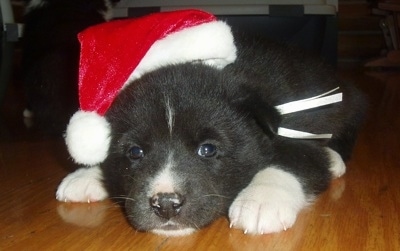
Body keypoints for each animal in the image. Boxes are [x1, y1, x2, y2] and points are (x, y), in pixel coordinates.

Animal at [55, 36, 366, 235]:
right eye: (135, 152)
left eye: (208, 149)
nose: (165, 204)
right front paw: (87, 174)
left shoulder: (298, 130)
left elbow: (291, 160)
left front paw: (262, 199)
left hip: (347, 103)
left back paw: (335, 159)